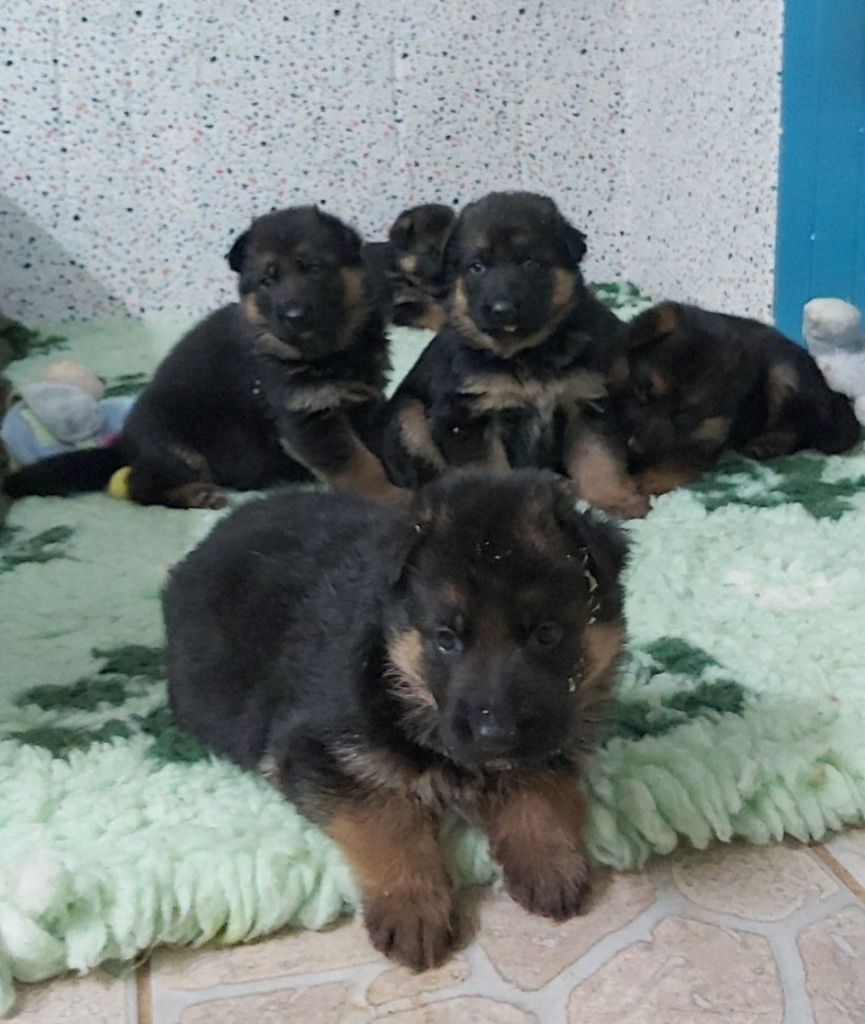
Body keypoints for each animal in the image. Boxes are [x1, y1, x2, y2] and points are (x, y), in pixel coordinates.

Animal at [5, 206, 407, 507]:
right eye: (267, 282)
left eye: (316, 269)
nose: (293, 316)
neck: (328, 354)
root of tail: (124, 446)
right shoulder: (308, 420)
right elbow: (357, 463)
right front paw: (389, 497)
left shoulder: (364, 403)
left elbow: (375, 447)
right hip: (180, 451)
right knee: (137, 486)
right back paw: (194, 494)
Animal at [165, 471, 626, 966]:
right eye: (445, 638)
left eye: (546, 634)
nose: (496, 733)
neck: (397, 676)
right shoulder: (317, 747)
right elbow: (387, 817)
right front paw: (412, 907)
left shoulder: (557, 729)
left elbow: (539, 784)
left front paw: (548, 858)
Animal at [380, 191, 642, 516]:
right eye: (476, 267)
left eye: (529, 262)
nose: (501, 309)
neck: (526, 352)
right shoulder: (468, 416)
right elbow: (488, 468)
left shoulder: (586, 399)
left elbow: (598, 456)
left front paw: (614, 498)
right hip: (409, 417)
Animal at [610, 299, 859, 491]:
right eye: (642, 391)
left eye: (684, 419)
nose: (636, 447)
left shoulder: (706, 442)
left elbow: (678, 460)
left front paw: (647, 480)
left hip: (785, 374)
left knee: (801, 427)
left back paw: (768, 444)